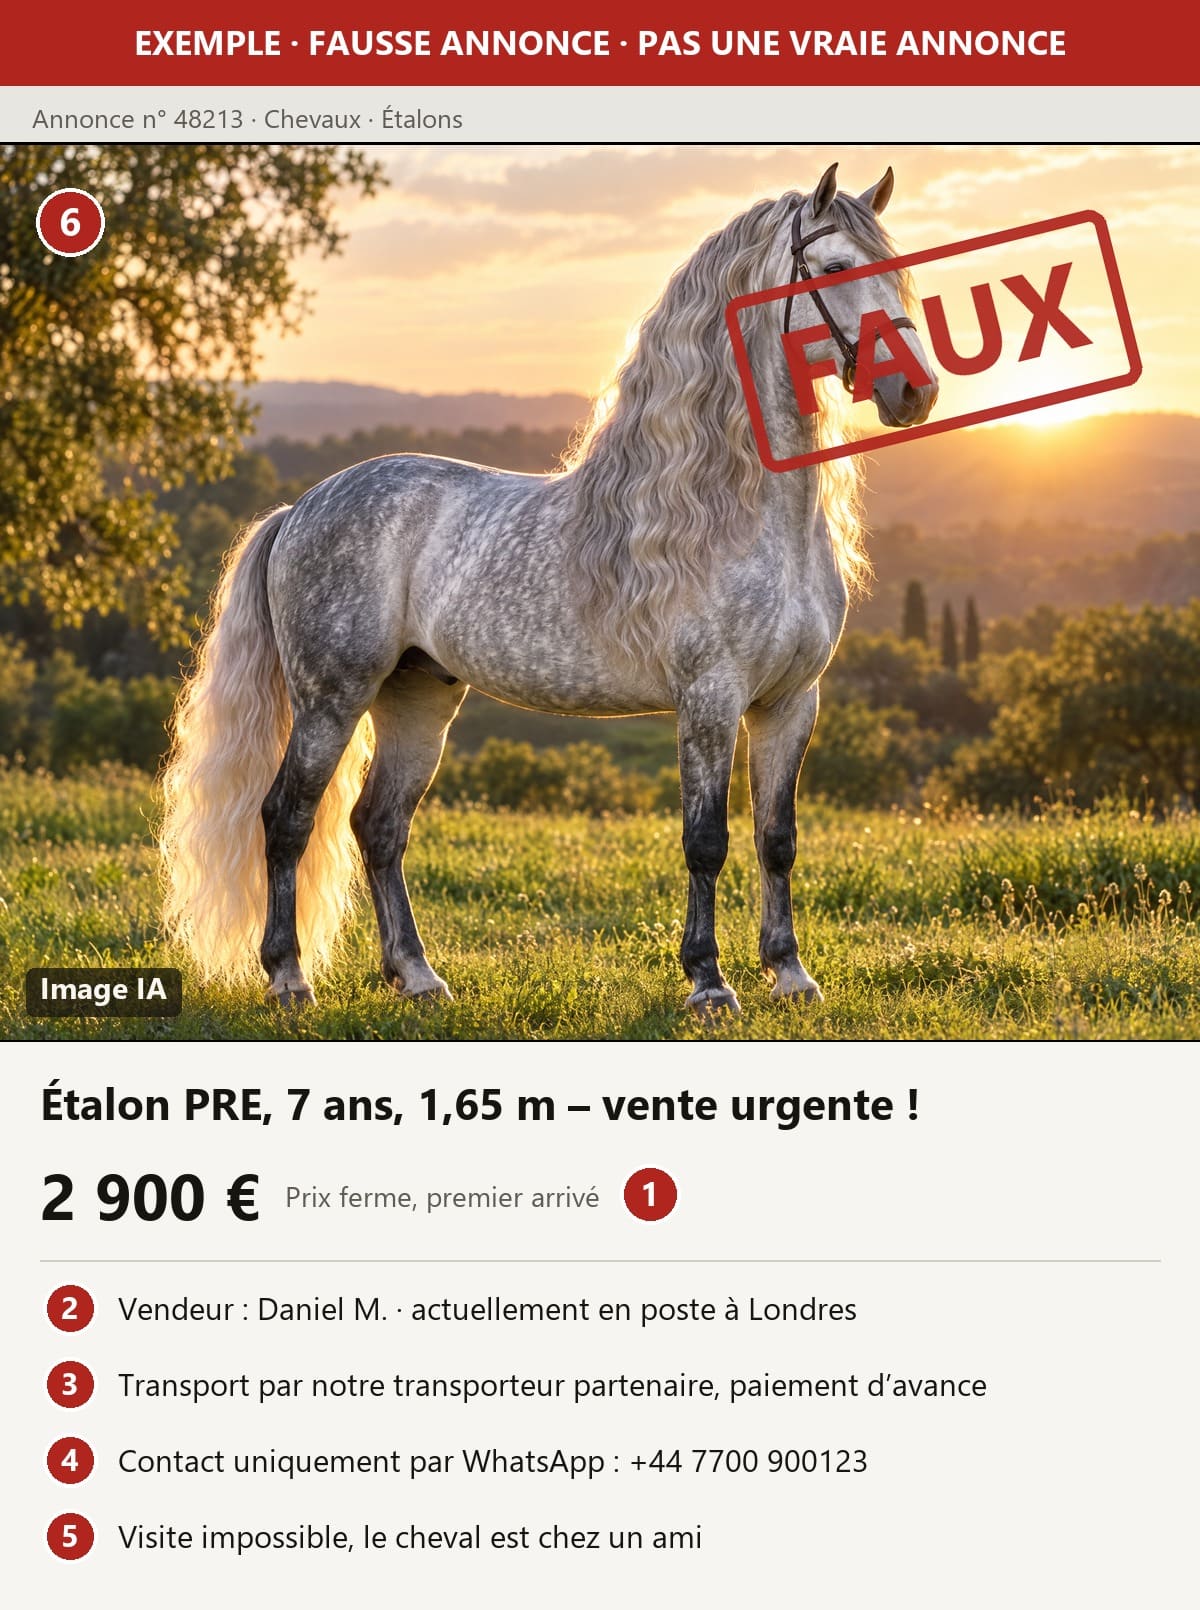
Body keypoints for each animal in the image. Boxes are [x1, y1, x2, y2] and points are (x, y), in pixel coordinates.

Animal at [160, 161, 938, 1016]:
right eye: (833, 269)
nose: (915, 393)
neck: (741, 515)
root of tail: (298, 509)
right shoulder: (710, 697)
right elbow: (707, 841)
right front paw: (708, 982)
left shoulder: (792, 701)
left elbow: (777, 838)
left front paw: (791, 974)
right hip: (332, 696)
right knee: (287, 817)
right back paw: (289, 978)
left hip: (418, 695)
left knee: (379, 826)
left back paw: (419, 977)